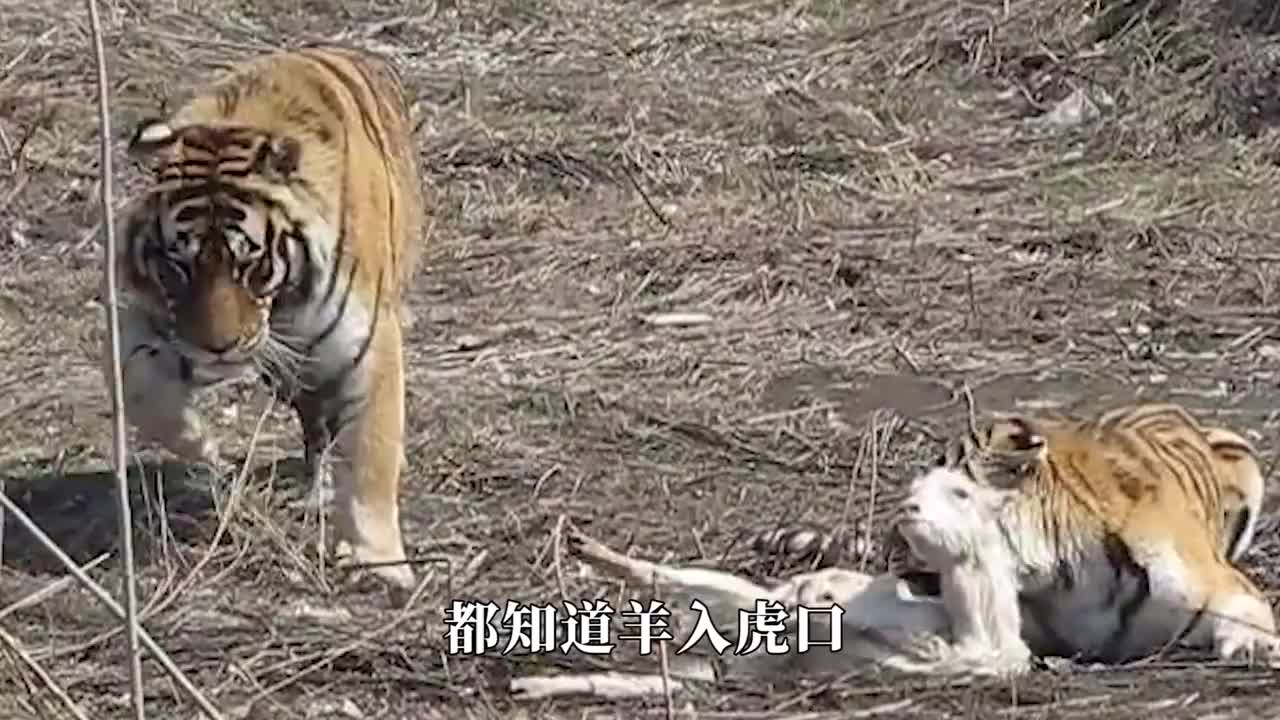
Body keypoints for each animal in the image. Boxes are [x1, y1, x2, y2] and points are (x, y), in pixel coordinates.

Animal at [103, 44, 426, 602]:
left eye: (248, 261)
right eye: (178, 264)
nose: (218, 347)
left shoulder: (368, 346)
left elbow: (371, 451)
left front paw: (378, 562)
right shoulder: (143, 320)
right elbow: (134, 383)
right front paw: (202, 446)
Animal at [749, 402, 1279, 665]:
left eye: (950, 488)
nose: (900, 515)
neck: (1062, 573)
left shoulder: (1221, 586)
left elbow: (1247, 612)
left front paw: (1254, 646)